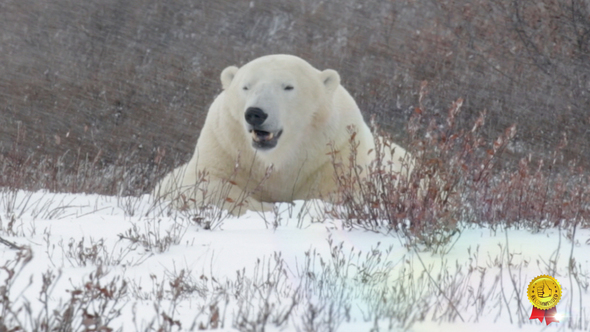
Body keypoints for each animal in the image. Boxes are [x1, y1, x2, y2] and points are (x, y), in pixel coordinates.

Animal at [153, 54, 412, 215]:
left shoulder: (336, 153)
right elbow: (201, 185)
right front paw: (265, 208)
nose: (255, 113)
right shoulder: (224, 145)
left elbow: (343, 194)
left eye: (288, 86)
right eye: (246, 86)